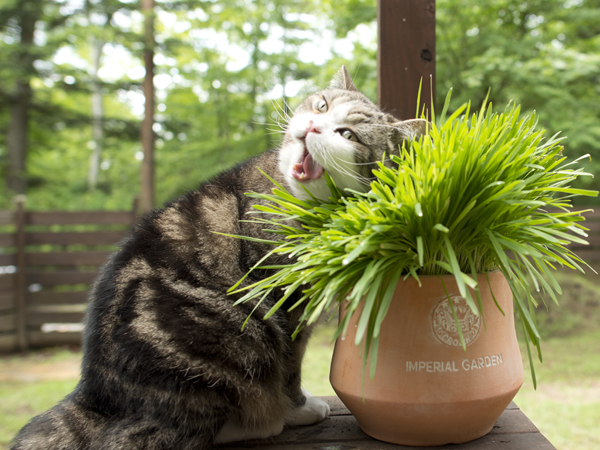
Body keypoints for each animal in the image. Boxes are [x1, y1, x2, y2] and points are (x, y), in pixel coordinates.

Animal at [9, 67, 426, 450]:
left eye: (348, 135)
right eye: (321, 105)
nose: (312, 125)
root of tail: (96, 396)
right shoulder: (286, 301)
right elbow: (291, 364)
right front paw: (299, 408)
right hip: (230, 348)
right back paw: (265, 420)